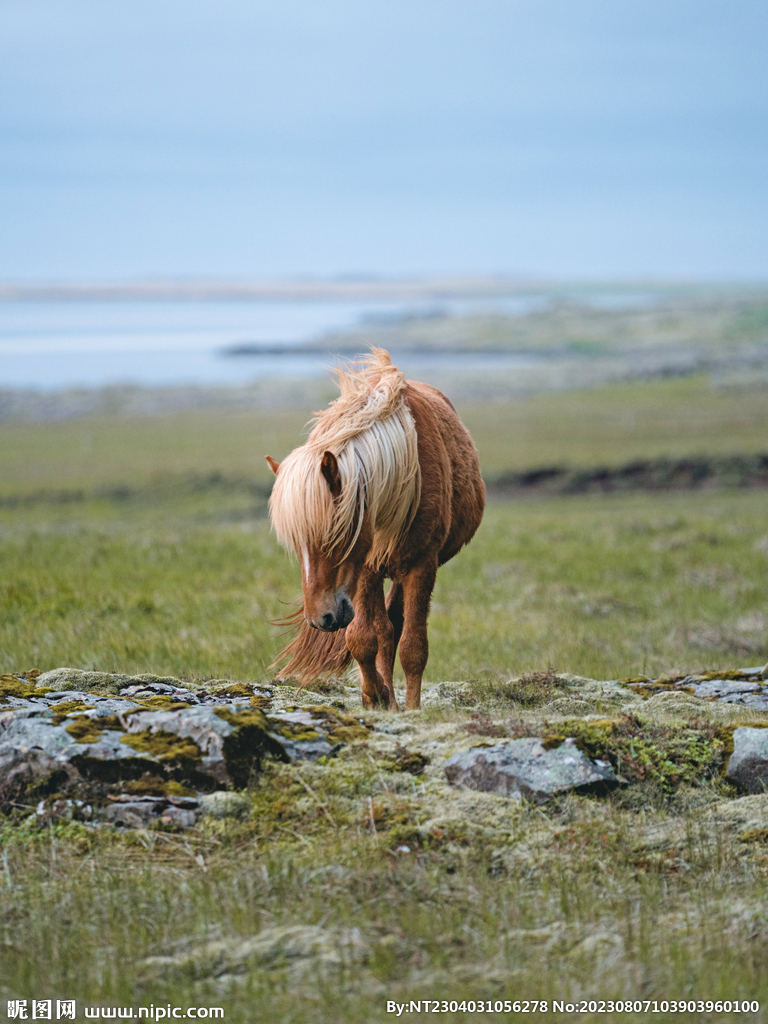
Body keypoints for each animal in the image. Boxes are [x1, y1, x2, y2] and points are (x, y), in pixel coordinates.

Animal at [265, 348, 485, 710]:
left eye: (333, 536)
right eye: (297, 546)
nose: (320, 618)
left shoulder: (422, 565)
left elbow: (412, 647)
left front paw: (411, 709)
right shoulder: (366, 568)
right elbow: (363, 638)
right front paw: (375, 696)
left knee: (395, 626)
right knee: (384, 629)